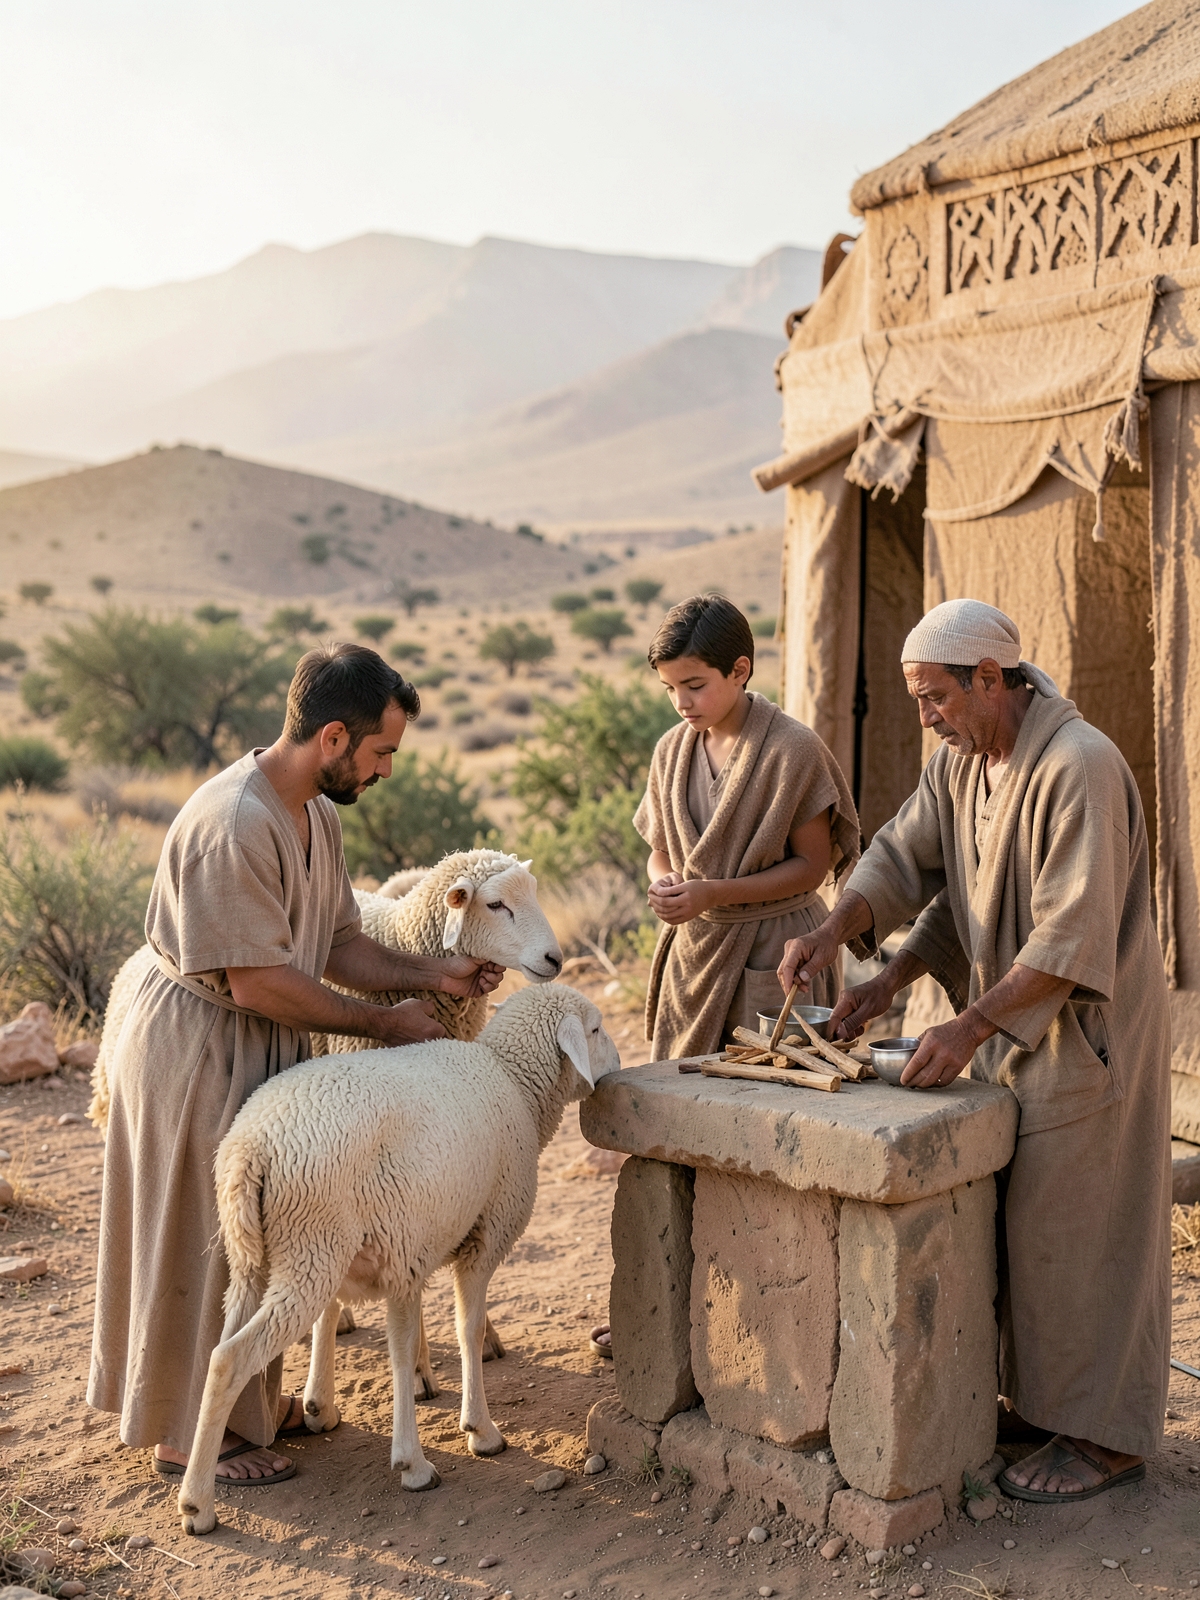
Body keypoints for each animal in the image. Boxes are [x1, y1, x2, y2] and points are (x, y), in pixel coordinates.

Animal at [177, 982, 620, 1536]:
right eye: (596, 1029)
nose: (618, 1067)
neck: (513, 1079)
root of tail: (248, 1151)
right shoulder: (481, 1236)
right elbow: (464, 1331)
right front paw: (468, 1436)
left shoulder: (402, 1248)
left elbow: (363, 1330)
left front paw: (321, 1406)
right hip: (310, 1245)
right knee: (229, 1359)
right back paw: (198, 1504)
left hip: (263, 1256)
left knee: (219, 1348)